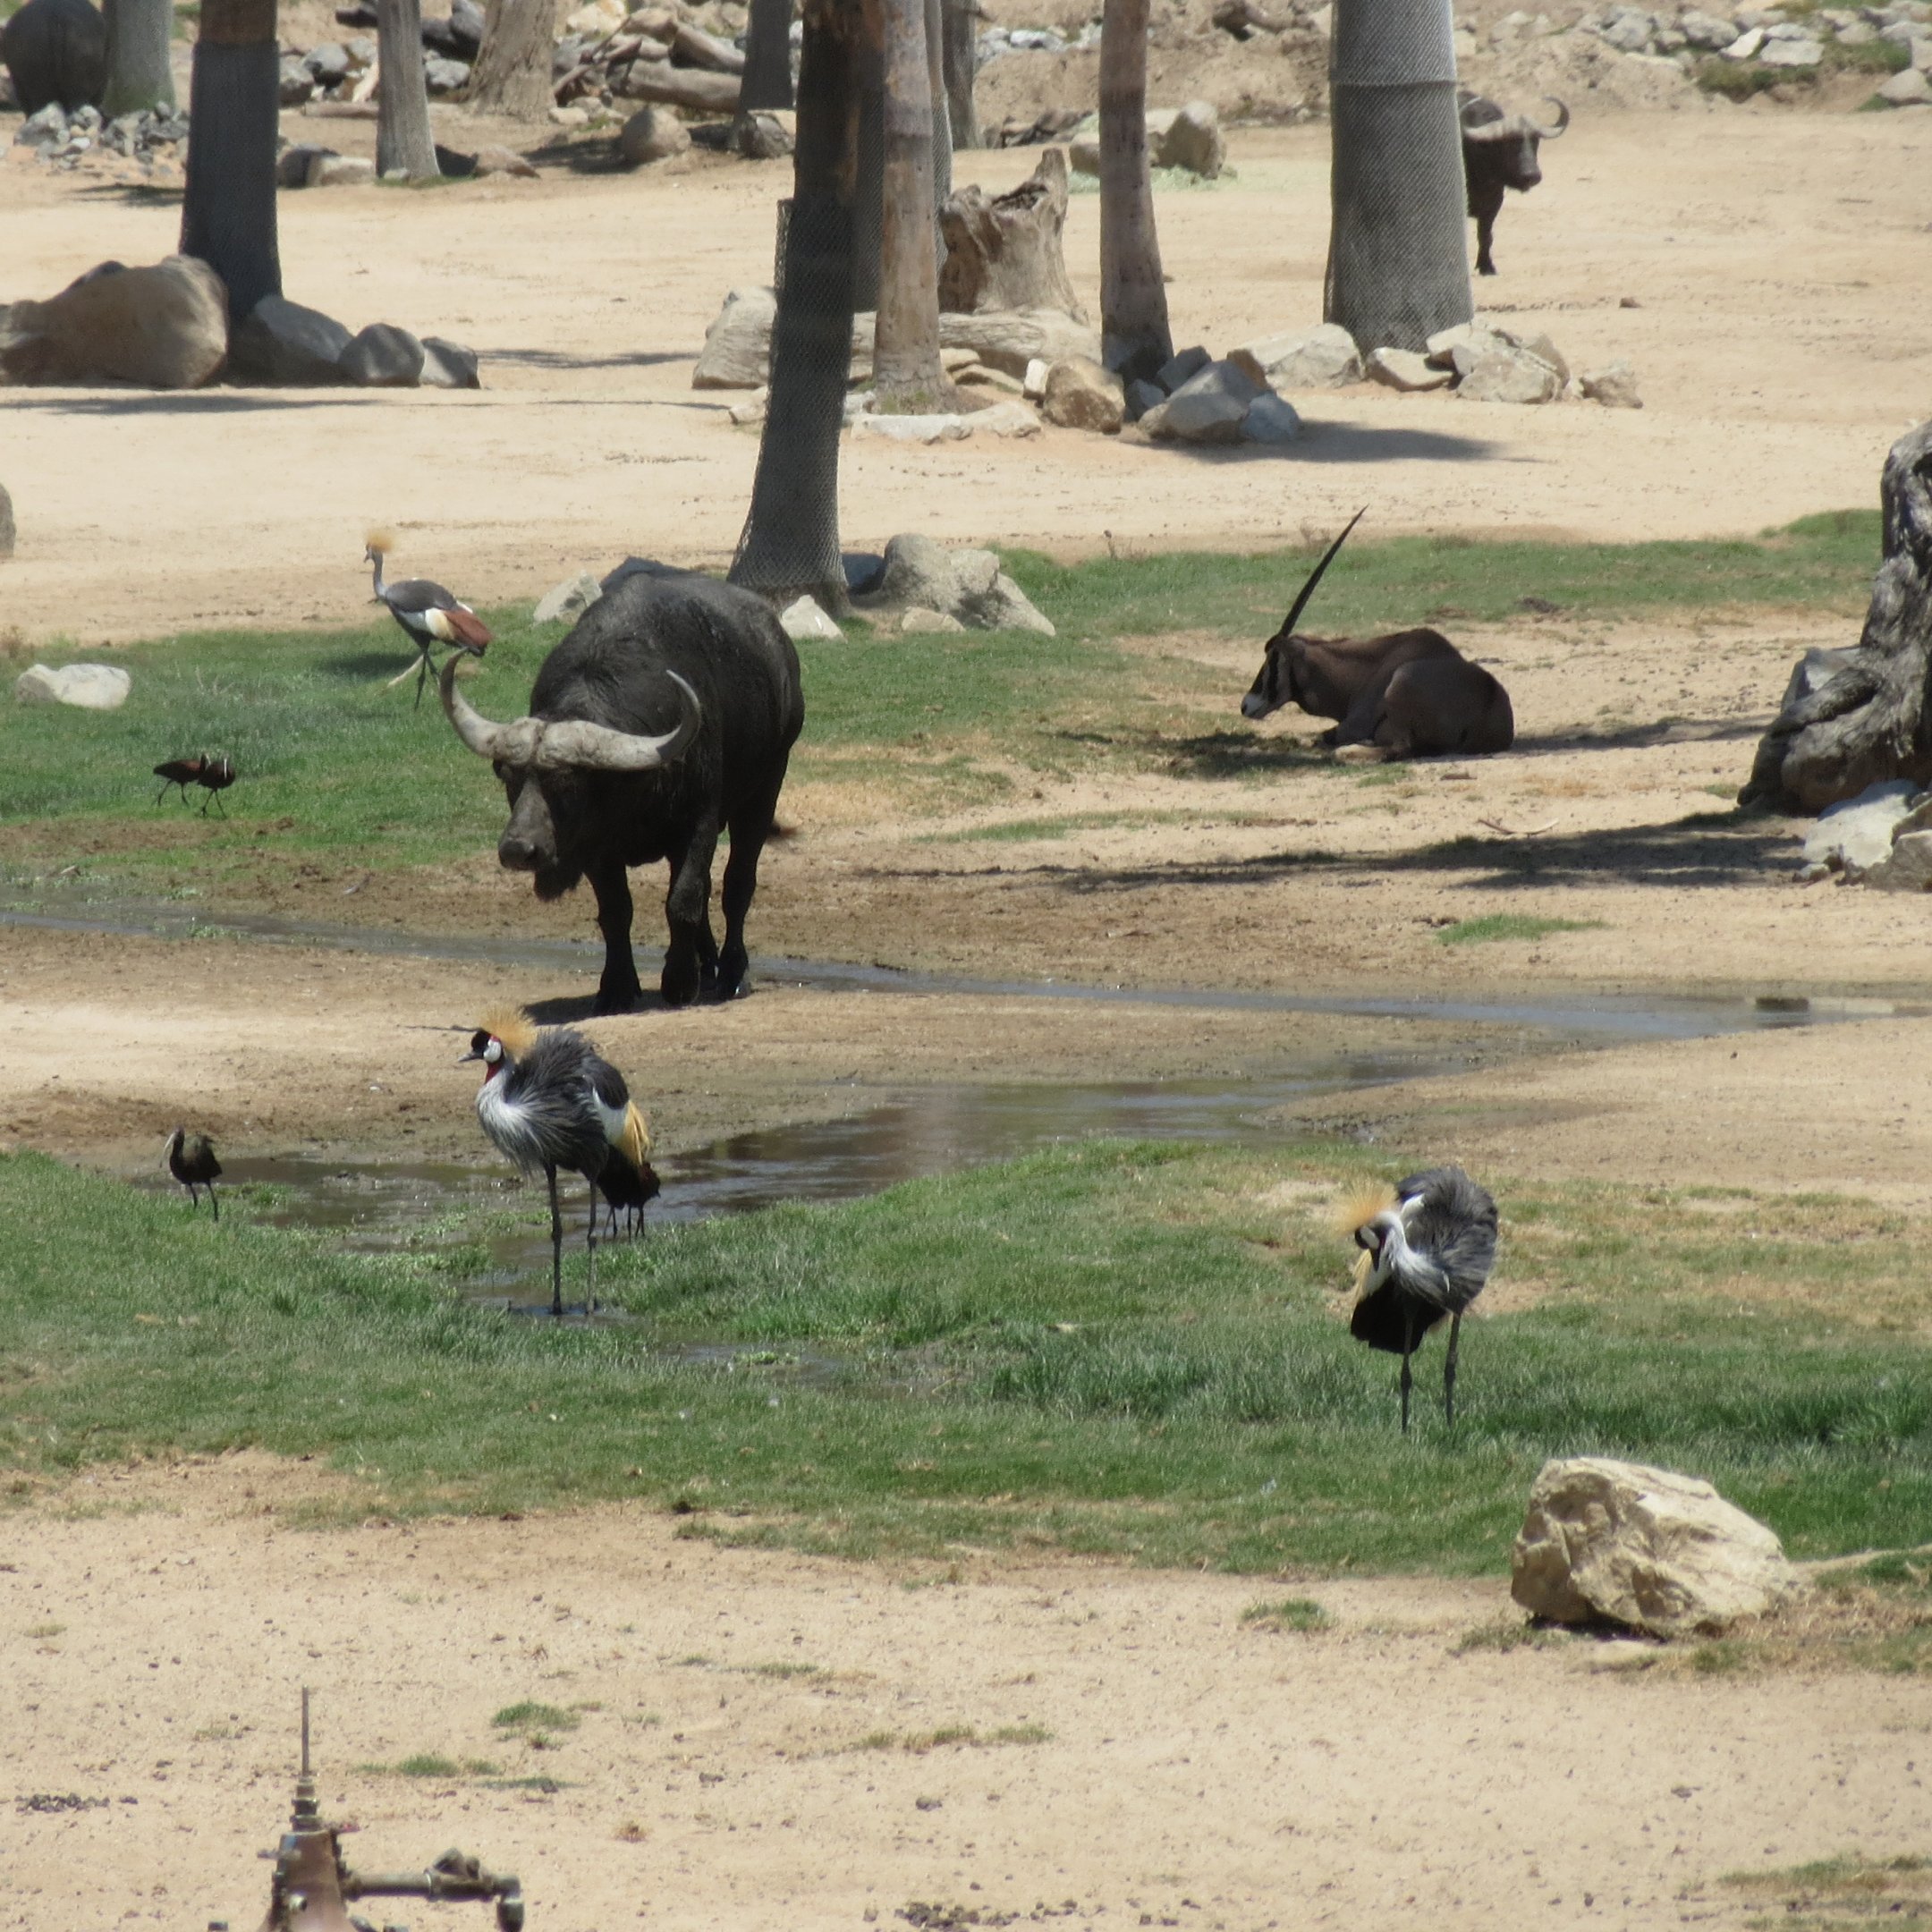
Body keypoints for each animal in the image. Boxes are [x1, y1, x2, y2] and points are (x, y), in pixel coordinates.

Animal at [440, 567, 803, 1013]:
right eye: (509, 777)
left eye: (567, 783)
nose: (518, 850)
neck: (632, 786)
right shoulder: (596, 845)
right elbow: (616, 911)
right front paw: (616, 986)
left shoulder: (699, 820)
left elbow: (684, 899)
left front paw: (679, 982)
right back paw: (708, 966)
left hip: (765, 787)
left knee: (737, 884)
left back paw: (732, 974)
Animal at [1241, 512, 1515, 760]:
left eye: (1273, 660)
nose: (1246, 705)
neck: (1358, 671)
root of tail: (1487, 701)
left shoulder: (1354, 723)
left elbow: (1319, 736)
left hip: (1402, 681)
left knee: (1399, 748)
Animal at [1459, 91, 1568, 277]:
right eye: (1510, 142)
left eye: (1535, 141)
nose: (1531, 175)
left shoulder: (1493, 204)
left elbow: (1486, 235)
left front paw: (1486, 266)